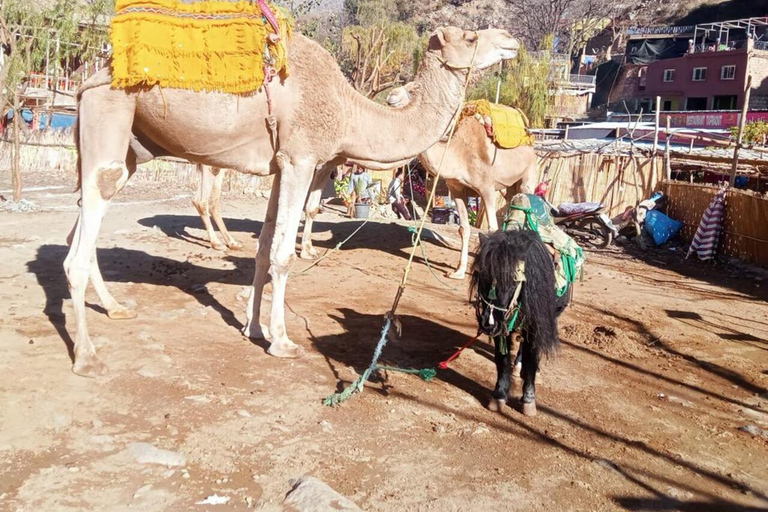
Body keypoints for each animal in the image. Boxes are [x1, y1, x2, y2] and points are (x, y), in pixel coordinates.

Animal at [66, 25, 520, 376]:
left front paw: (253, 328)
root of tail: (89, 77)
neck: (347, 111)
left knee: (83, 224)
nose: (511, 41)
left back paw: (115, 307)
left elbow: (265, 247)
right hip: (111, 112)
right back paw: (87, 357)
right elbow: (282, 254)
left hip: (133, 144)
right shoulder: (301, 157)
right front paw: (282, 341)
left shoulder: (280, 164)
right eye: (471, 36)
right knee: (85, 231)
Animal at [388, 86, 536, 282]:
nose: (392, 95)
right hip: (508, 187)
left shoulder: (486, 188)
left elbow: (492, 229)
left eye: (414, 89)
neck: (459, 153)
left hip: (529, 174)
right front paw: (458, 271)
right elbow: (464, 228)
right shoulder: (456, 188)